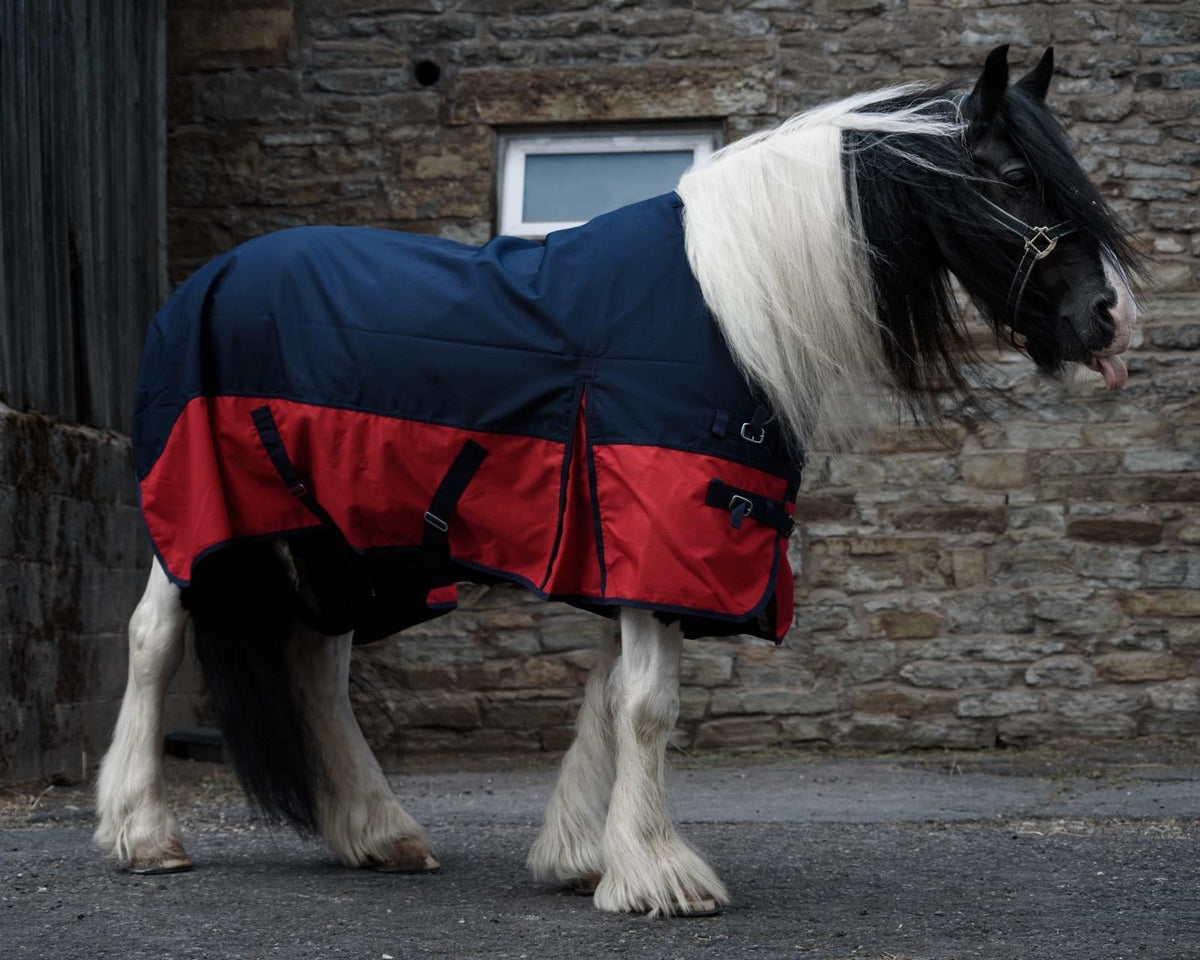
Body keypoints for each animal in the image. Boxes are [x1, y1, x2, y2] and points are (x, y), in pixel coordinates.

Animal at [94, 45, 1139, 917]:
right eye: (1016, 177)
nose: (1110, 319)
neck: (731, 303)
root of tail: (208, 280)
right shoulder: (656, 525)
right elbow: (647, 704)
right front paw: (660, 876)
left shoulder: (632, 546)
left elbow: (607, 695)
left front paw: (583, 857)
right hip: (205, 516)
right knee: (154, 637)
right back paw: (143, 833)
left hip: (347, 540)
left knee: (318, 667)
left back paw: (380, 834)